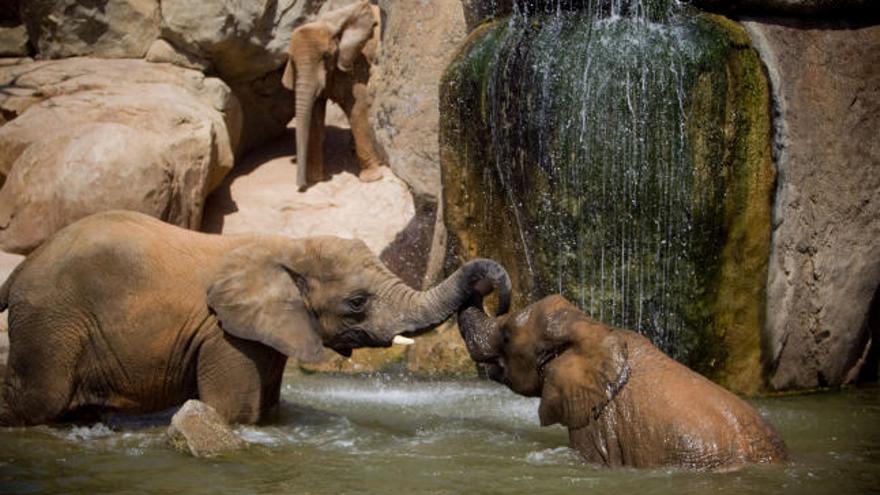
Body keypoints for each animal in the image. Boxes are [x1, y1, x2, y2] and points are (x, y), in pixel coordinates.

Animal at [0, 209, 508, 426]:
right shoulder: (224, 332)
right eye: (357, 302)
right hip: (50, 323)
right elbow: (234, 411)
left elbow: (267, 406)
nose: (496, 298)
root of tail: (20, 270)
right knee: (39, 401)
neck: (288, 245)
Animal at [282, 0, 384, 191]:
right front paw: (317, 179)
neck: (327, 25)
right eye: (292, 60)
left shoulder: (354, 62)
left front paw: (372, 178)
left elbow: (357, 106)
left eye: (326, 56)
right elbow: (315, 115)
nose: (301, 187)